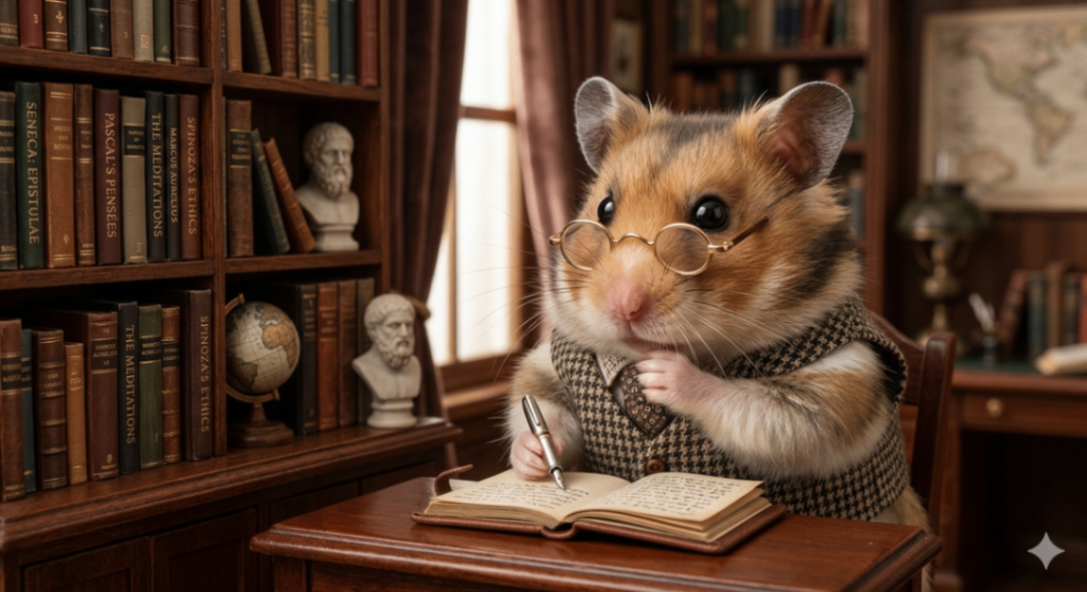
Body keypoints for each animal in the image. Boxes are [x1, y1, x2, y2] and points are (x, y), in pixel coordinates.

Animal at [503, 77, 931, 585]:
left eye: (711, 215)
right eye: (605, 208)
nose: (623, 306)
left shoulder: (837, 384)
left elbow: (748, 403)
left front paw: (661, 374)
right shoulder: (548, 366)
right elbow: (545, 413)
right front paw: (532, 460)